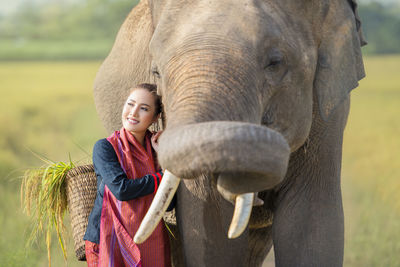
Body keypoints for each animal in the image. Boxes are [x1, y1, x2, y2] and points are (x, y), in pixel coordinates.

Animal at [93, 0, 366, 266]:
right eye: (156, 72)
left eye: (275, 63)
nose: (257, 196)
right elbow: (210, 222)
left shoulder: (329, 111)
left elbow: (312, 220)